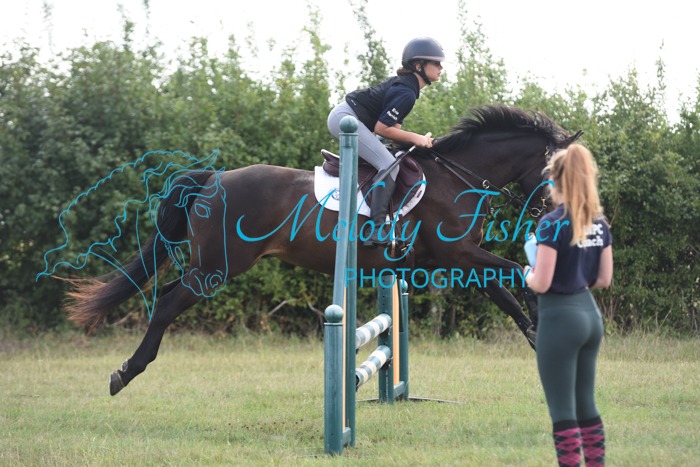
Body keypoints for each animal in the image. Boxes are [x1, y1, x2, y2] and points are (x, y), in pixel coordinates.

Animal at [64, 104, 580, 396]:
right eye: (556, 170)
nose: (556, 211)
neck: (458, 176)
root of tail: (213, 178)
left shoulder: (460, 260)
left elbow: (506, 292)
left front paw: (537, 336)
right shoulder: (459, 257)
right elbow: (515, 273)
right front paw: (542, 322)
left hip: (207, 266)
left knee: (167, 293)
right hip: (218, 268)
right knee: (168, 304)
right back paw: (126, 373)